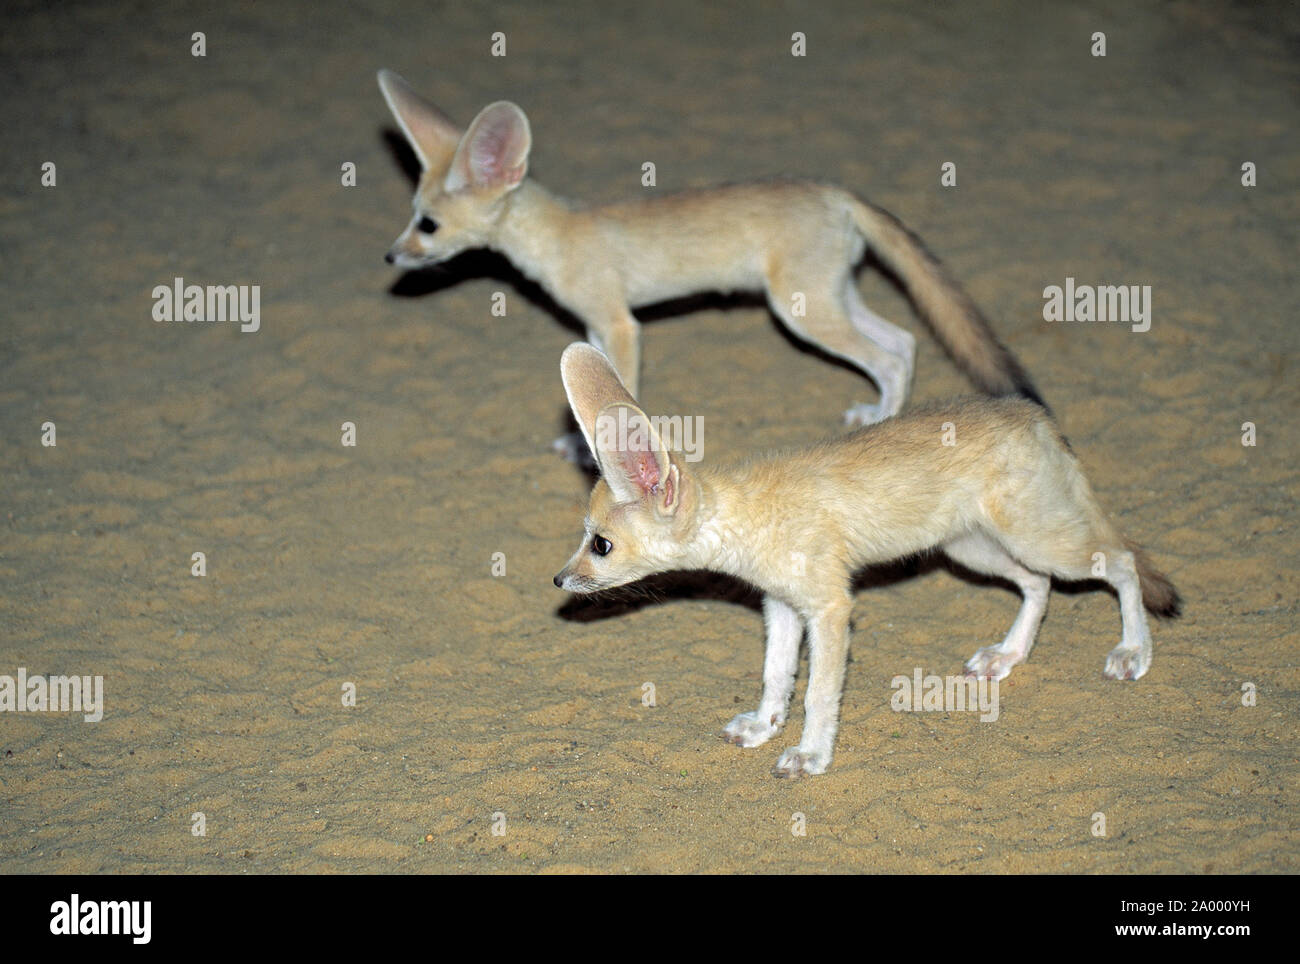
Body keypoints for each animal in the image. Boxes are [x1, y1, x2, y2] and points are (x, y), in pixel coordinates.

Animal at [379, 69, 1045, 444]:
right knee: (904, 343)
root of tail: (837, 191)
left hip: (801, 312)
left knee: (886, 356)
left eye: (428, 225)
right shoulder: (595, 327)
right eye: (411, 212)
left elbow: (621, 393)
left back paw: (884, 427)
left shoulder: (619, 324)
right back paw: (881, 418)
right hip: (830, 297)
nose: (389, 256)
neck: (557, 230)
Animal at [548, 345, 1180, 779]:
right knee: (1039, 584)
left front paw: (809, 754)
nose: (558, 578)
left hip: (1035, 539)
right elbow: (776, 675)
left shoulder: (829, 607)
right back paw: (1009, 655)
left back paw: (1132, 651)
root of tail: (1034, 415)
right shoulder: (781, 605)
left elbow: (817, 693)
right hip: (973, 549)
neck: (745, 514)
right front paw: (762, 727)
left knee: (1119, 561)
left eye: (600, 545)